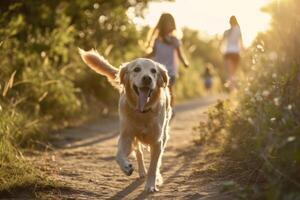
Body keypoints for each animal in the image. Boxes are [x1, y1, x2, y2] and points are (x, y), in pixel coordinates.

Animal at [78, 48, 171, 192]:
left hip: (164, 133)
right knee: (138, 152)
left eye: (153, 71)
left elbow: (154, 166)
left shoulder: (157, 141)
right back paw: (141, 171)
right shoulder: (127, 135)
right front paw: (126, 167)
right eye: (137, 69)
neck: (142, 112)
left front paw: (151, 184)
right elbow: (118, 155)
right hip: (136, 138)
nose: (147, 78)